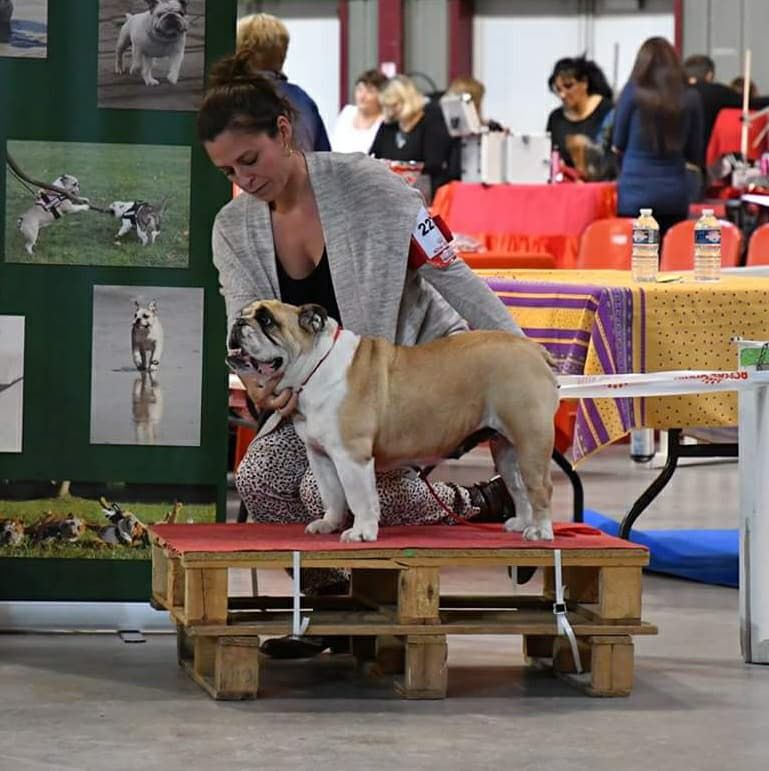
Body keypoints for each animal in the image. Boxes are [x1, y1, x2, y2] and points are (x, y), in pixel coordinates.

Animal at [228, 300, 560, 544]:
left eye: (266, 320)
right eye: (245, 313)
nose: (237, 322)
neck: (316, 366)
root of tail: (533, 349)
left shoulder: (352, 457)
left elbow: (359, 497)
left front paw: (362, 532)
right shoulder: (320, 456)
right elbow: (332, 494)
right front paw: (329, 524)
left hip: (531, 442)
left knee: (540, 487)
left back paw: (540, 531)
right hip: (506, 449)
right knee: (519, 486)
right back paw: (521, 522)